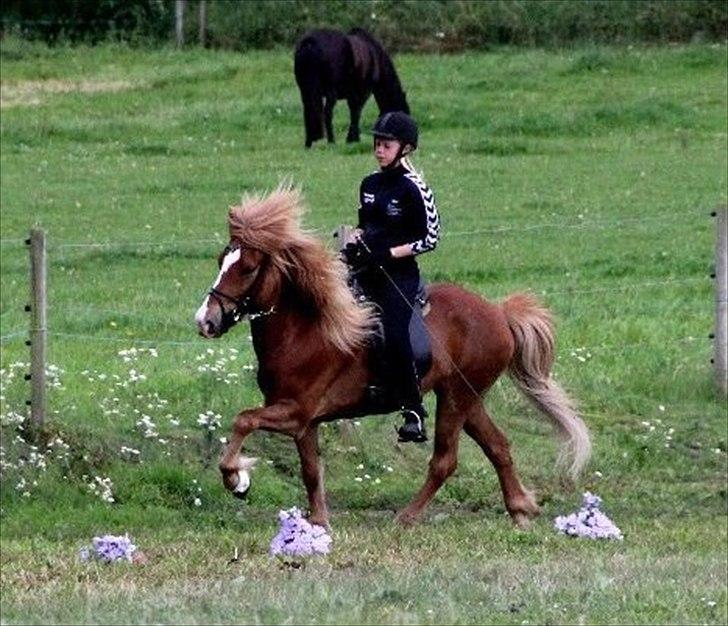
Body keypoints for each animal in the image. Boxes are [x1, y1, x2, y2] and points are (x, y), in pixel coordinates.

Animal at [195, 186, 592, 528]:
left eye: (247, 268)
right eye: (221, 260)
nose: (205, 321)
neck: (306, 330)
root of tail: (498, 312)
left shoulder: (296, 412)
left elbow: (244, 420)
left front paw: (238, 479)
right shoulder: (304, 421)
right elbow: (311, 471)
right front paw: (318, 522)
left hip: (457, 397)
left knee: (445, 460)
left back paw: (407, 517)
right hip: (466, 396)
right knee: (498, 446)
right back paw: (521, 510)